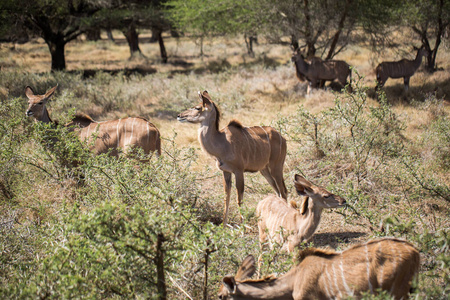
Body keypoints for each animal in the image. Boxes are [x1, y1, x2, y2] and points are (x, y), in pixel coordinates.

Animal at [178, 91, 286, 225]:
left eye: (198, 107)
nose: (179, 115)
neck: (222, 142)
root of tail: (282, 137)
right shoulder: (226, 171)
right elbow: (227, 198)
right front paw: (223, 226)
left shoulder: (239, 171)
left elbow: (239, 199)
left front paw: (242, 226)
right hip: (264, 170)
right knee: (277, 191)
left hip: (276, 167)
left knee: (283, 191)